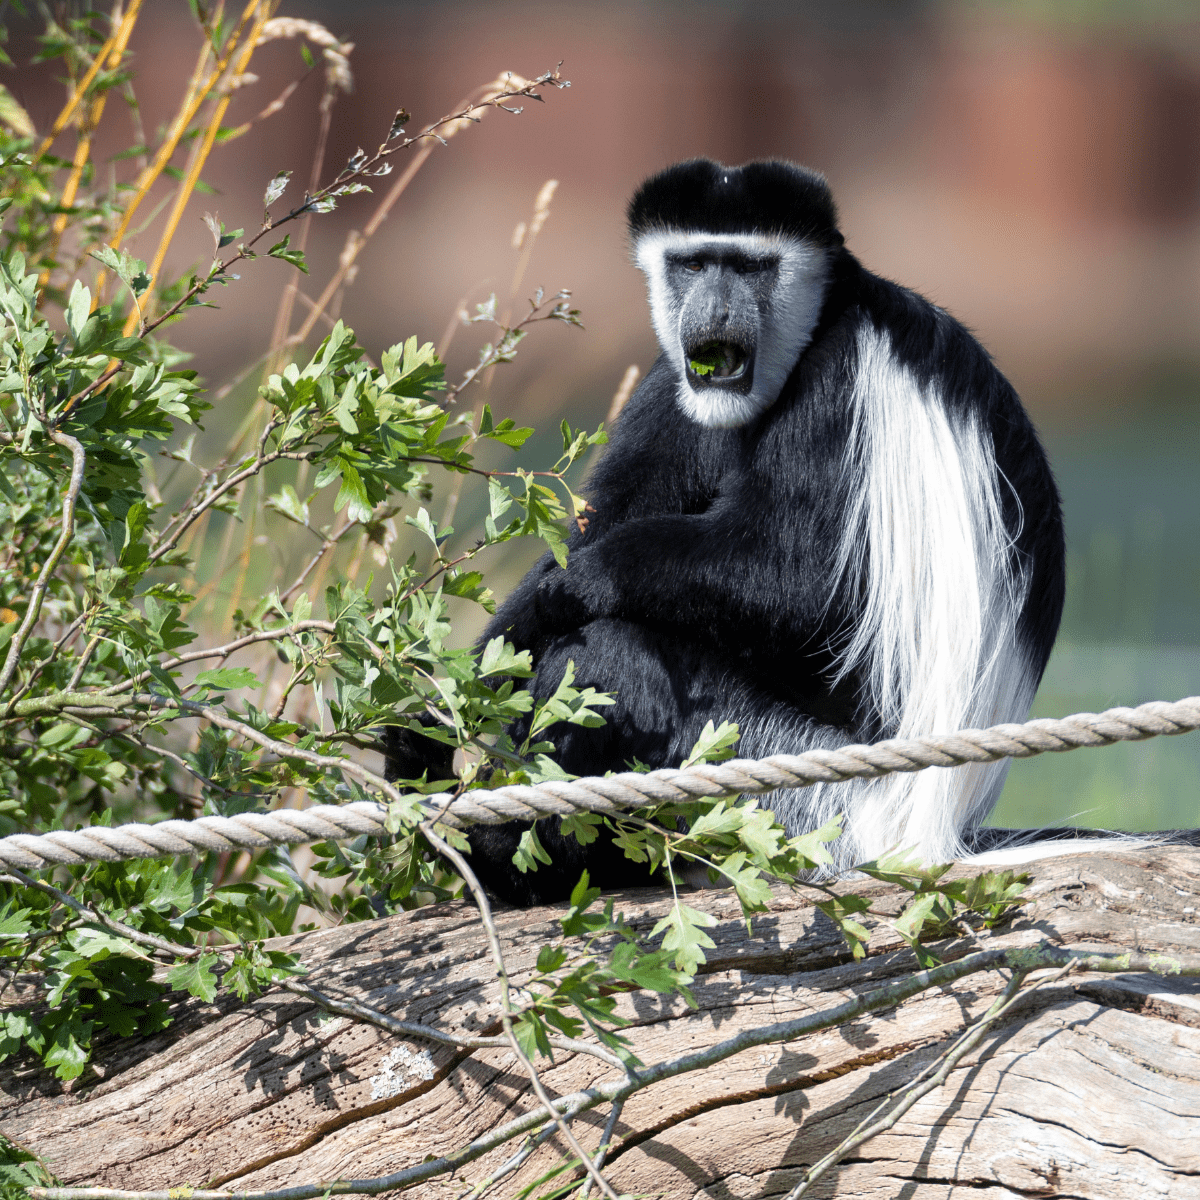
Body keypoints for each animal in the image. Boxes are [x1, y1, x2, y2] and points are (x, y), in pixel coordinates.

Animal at [387, 157, 1069, 908]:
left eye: (749, 267)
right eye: (693, 263)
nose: (714, 309)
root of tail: (934, 830)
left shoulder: (838, 381)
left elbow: (801, 585)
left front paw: (577, 585)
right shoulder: (669, 384)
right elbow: (598, 526)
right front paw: (432, 718)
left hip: (798, 787)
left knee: (613, 658)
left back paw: (513, 857)